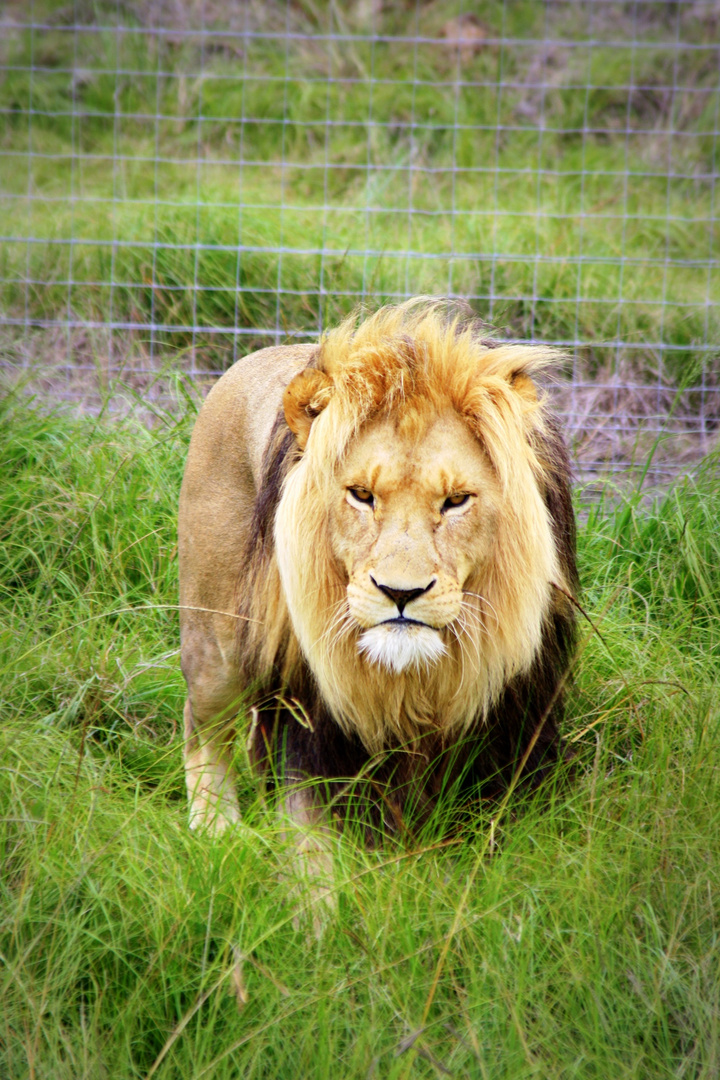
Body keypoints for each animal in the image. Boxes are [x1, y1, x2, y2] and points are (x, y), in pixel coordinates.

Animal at [180, 300, 578, 846]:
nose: (399, 592)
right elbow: (312, 834)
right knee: (202, 727)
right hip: (216, 640)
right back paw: (215, 829)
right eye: (361, 495)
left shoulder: (517, 723)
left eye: (456, 500)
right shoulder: (315, 727)